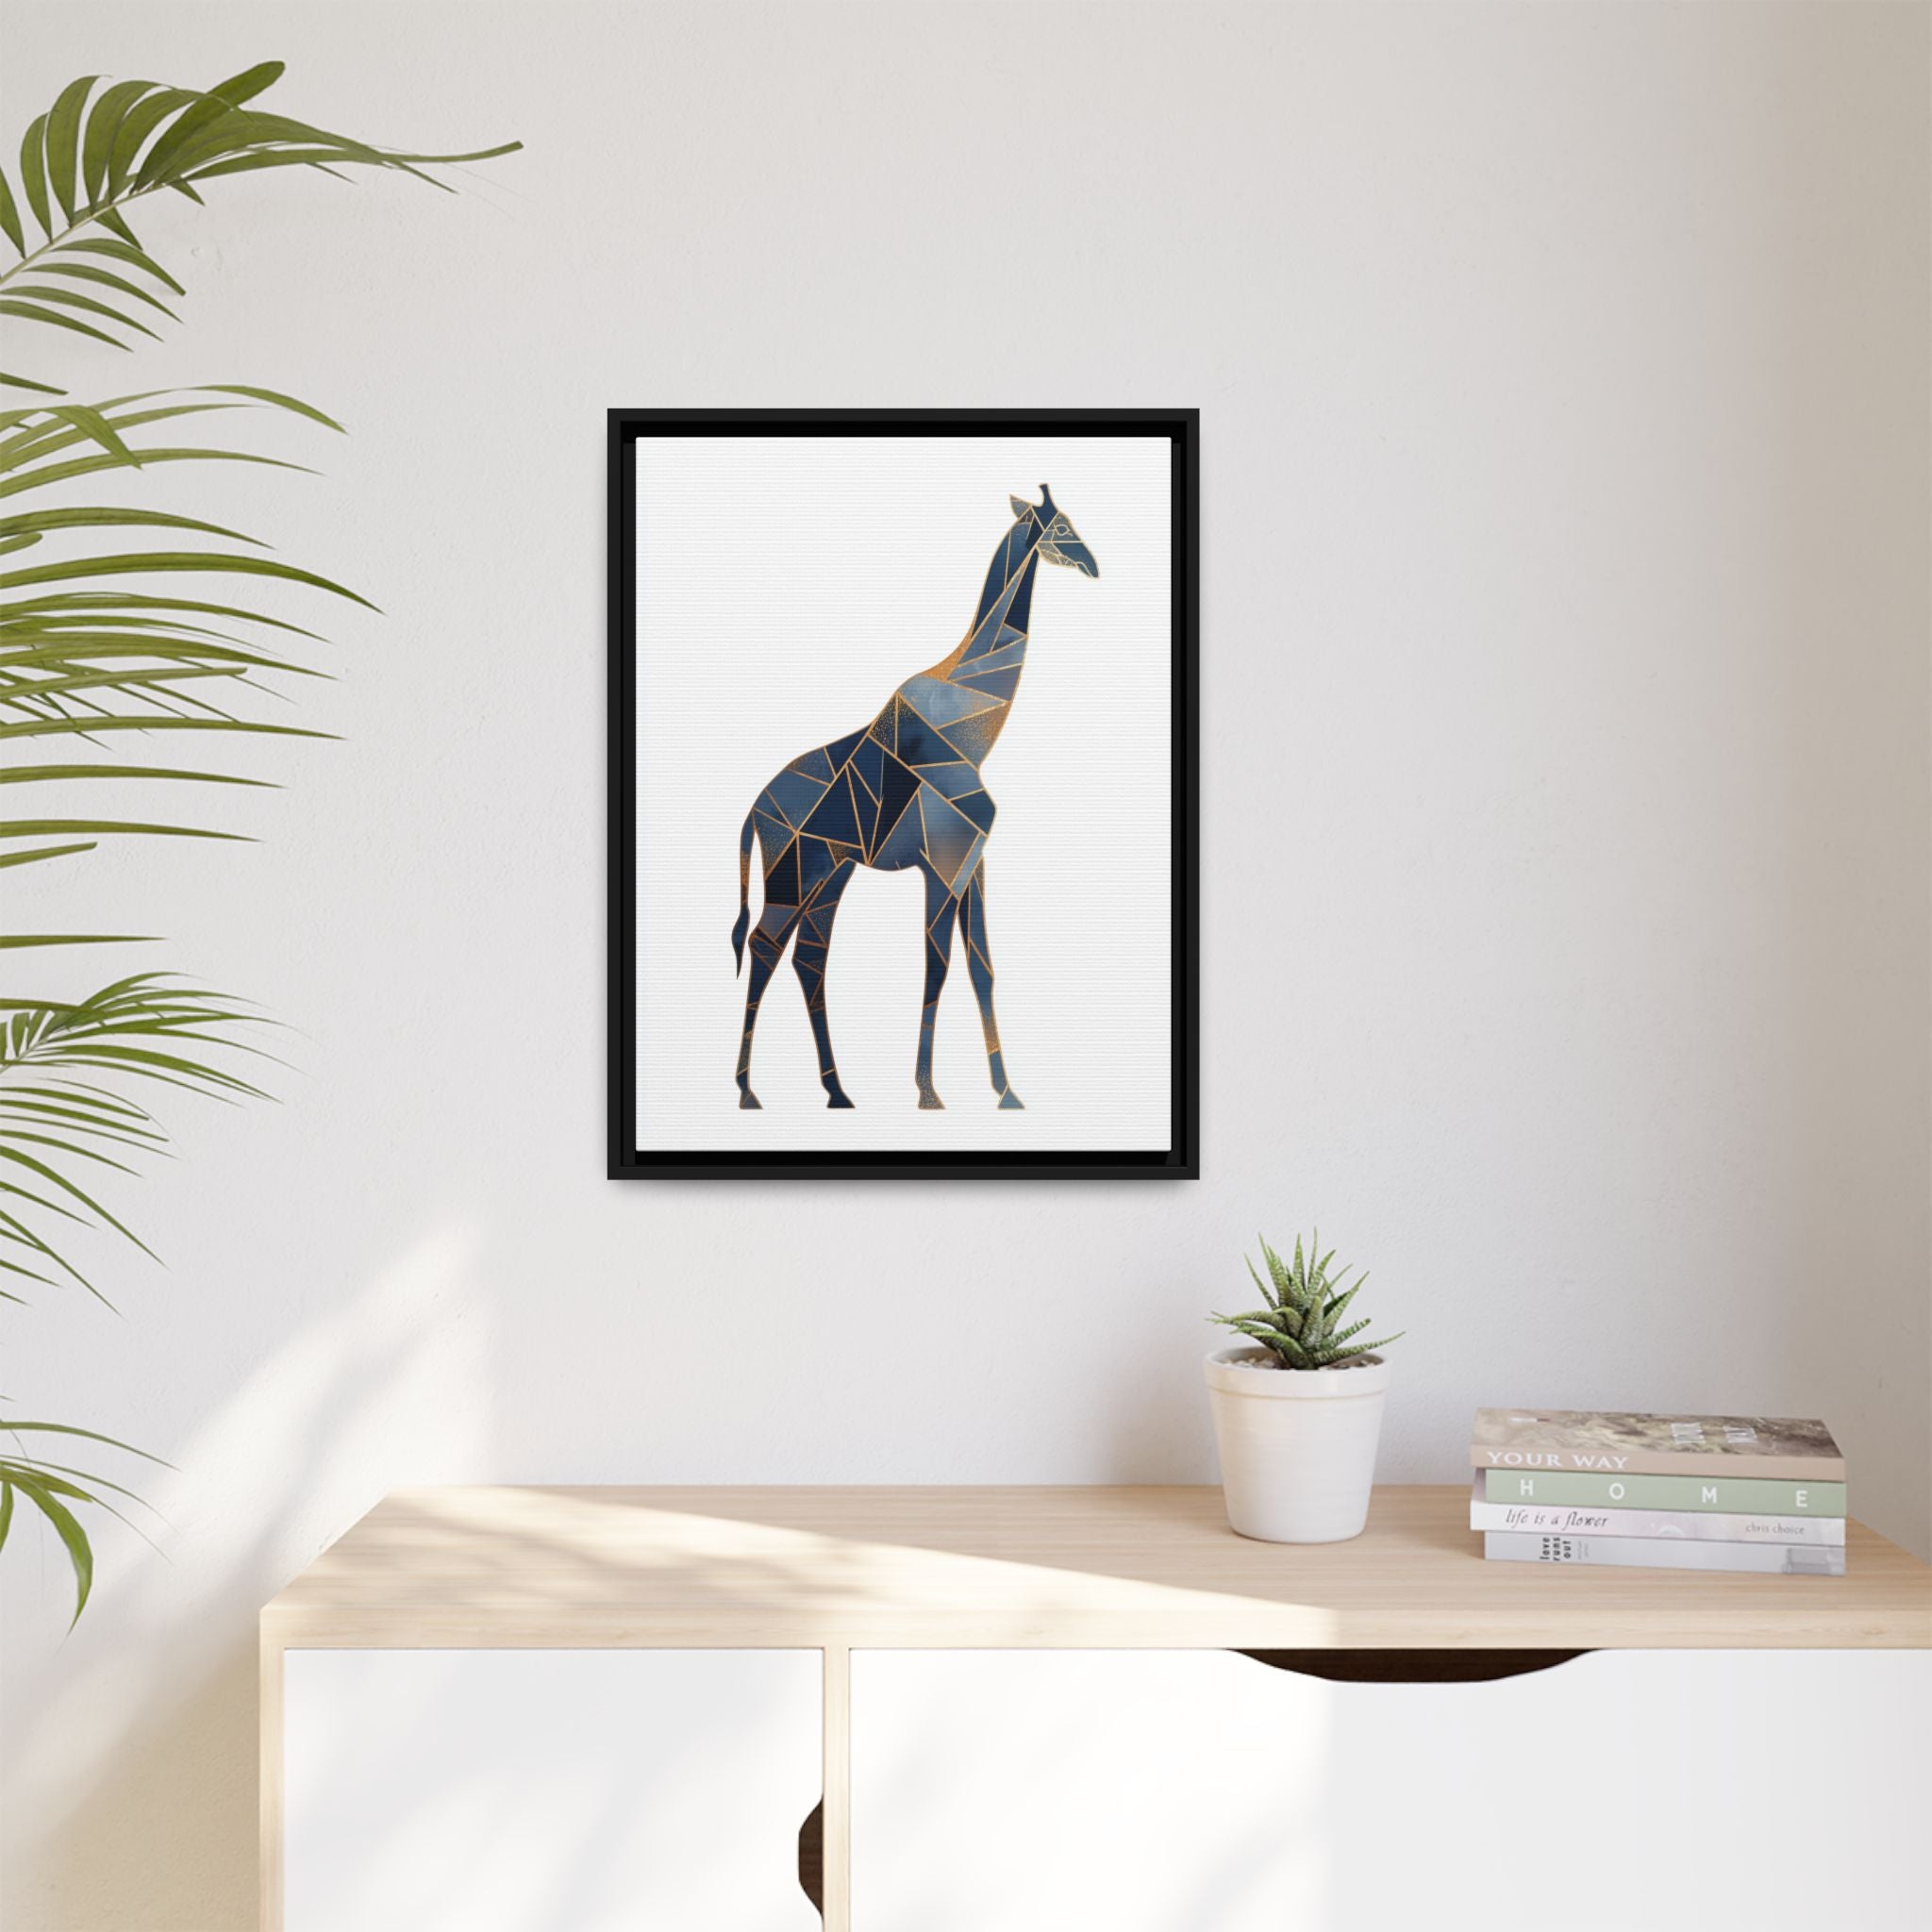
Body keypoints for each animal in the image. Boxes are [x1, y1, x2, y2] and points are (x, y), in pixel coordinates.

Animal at [730, 487, 1099, 1110]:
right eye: (1061, 526)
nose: (1093, 564)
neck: (973, 729)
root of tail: (754, 812)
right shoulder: (943, 863)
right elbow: (938, 966)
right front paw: (928, 1092)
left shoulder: (972, 863)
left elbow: (981, 967)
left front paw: (1006, 1092)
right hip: (793, 874)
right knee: (763, 947)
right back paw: (748, 1092)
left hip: (830, 875)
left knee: (809, 957)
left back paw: (837, 1091)